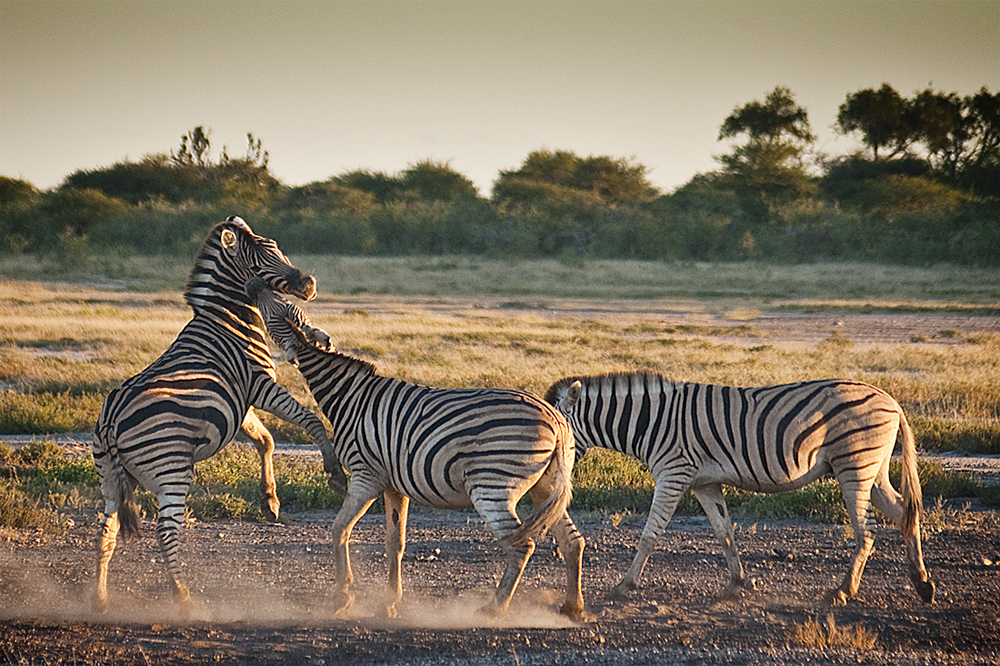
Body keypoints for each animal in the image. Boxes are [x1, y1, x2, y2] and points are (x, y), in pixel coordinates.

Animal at [92, 215, 348, 616]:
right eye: (259, 262)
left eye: (277, 248)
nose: (308, 284)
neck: (229, 321)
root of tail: (110, 423)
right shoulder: (260, 385)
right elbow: (310, 421)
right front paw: (335, 472)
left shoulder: (240, 404)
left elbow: (266, 440)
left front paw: (270, 501)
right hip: (172, 468)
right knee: (165, 531)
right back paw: (183, 598)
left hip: (112, 478)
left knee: (108, 531)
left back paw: (99, 598)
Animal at [248, 276, 592, 624]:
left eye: (278, 309)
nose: (255, 283)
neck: (348, 396)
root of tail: (557, 420)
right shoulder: (393, 485)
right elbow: (394, 543)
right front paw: (389, 603)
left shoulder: (366, 477)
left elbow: (339, 530)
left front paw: (342, 598)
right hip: (545, 487)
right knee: (572, 541)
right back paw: (573, 608)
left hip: (492, 485)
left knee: (522, 545)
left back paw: (494, 609)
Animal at [544, 374, 932, 608]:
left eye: (558, 431)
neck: (647, 422)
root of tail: (891, 400)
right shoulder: (704, 482)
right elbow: (724, 531)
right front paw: (737, 582)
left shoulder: (673, 473)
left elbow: (650, 533)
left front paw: (625, 585)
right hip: (873, 471)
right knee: (905, 514)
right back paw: (922, 583)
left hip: (854, 467)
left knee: (867, 532)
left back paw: (843, 591)